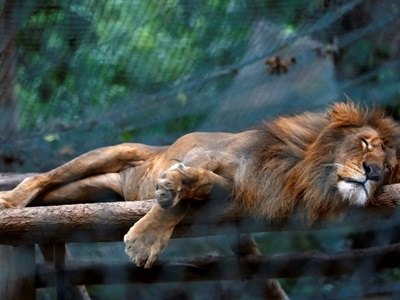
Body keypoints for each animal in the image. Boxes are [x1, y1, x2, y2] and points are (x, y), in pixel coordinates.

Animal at [0, 102, 400, 268]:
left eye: (389, 167)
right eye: (366, 143)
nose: (373, 173)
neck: (300, 170)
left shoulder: (236, 189)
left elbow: (196, 193)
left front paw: (177, 189)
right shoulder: (206, 153)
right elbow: (177, 199)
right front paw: (144, 239)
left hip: (89, 190)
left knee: (52, 192)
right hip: (107, 155)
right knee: (41, 177)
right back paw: (10, 202)